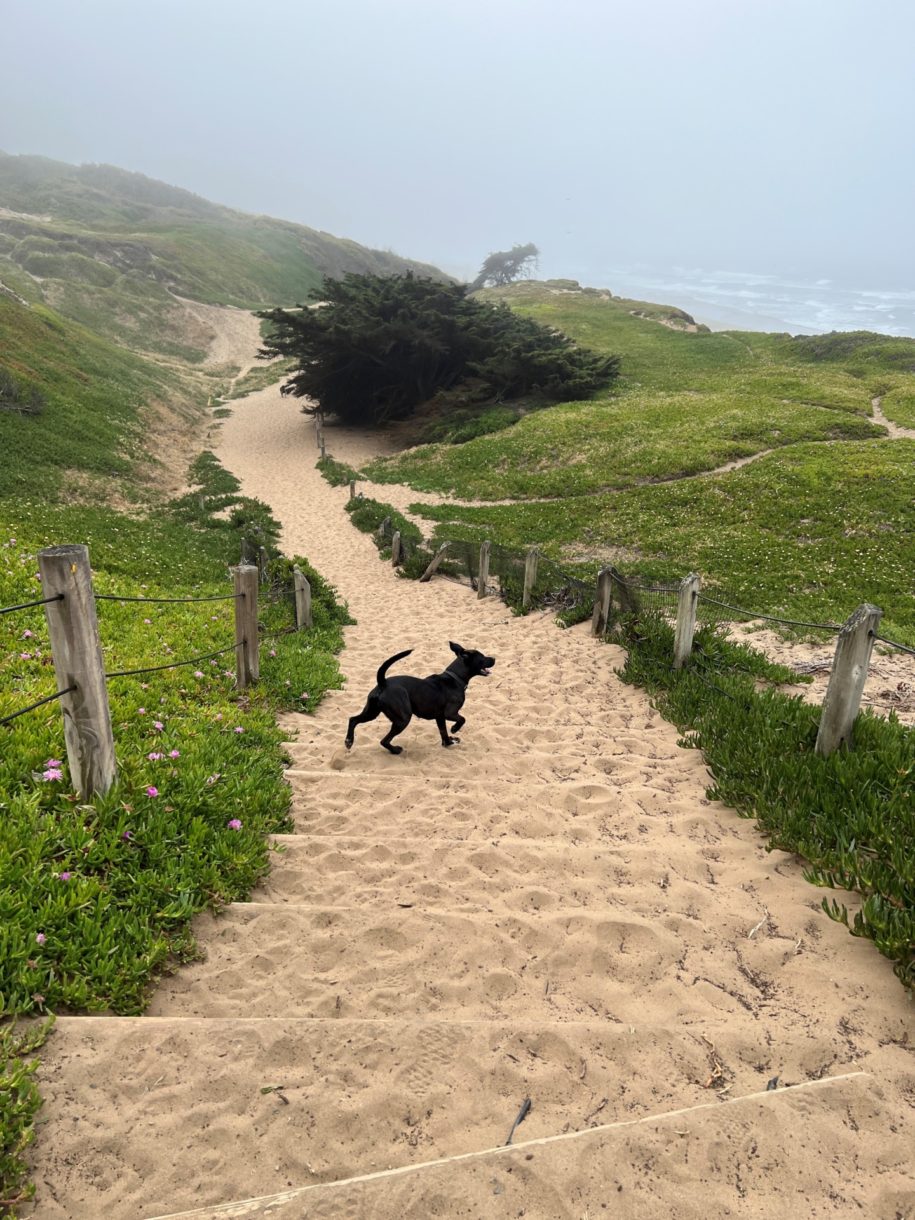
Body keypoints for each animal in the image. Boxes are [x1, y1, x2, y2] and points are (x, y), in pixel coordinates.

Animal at [346, 644, 497, 746]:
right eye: (482, 657)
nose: (494, 658)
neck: (455, 678)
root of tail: (383, 683)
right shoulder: (450, 713)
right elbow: (462, 719)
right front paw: (454, 730)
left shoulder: (440, 717)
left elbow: (443, 731)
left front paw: (448, 743)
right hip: (402, 719)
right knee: (384, 741)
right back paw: (396, 750)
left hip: (372, 712)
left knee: (353, 719)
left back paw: (349, 741)